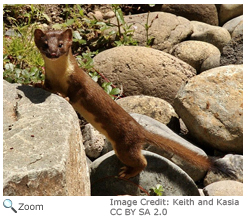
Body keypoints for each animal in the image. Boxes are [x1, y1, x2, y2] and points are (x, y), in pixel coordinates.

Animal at [34, 28, 234, 180]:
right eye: (45, 45)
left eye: (61, 44)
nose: (53, 53)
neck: (60, 76)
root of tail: (141, 131)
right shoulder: (49, 79)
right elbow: (46, 86)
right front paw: (36, 85)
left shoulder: (81, 84)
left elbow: (76, 95)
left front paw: (65, 96)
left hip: (125, 146)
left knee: (142, 161)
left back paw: (127, 172)